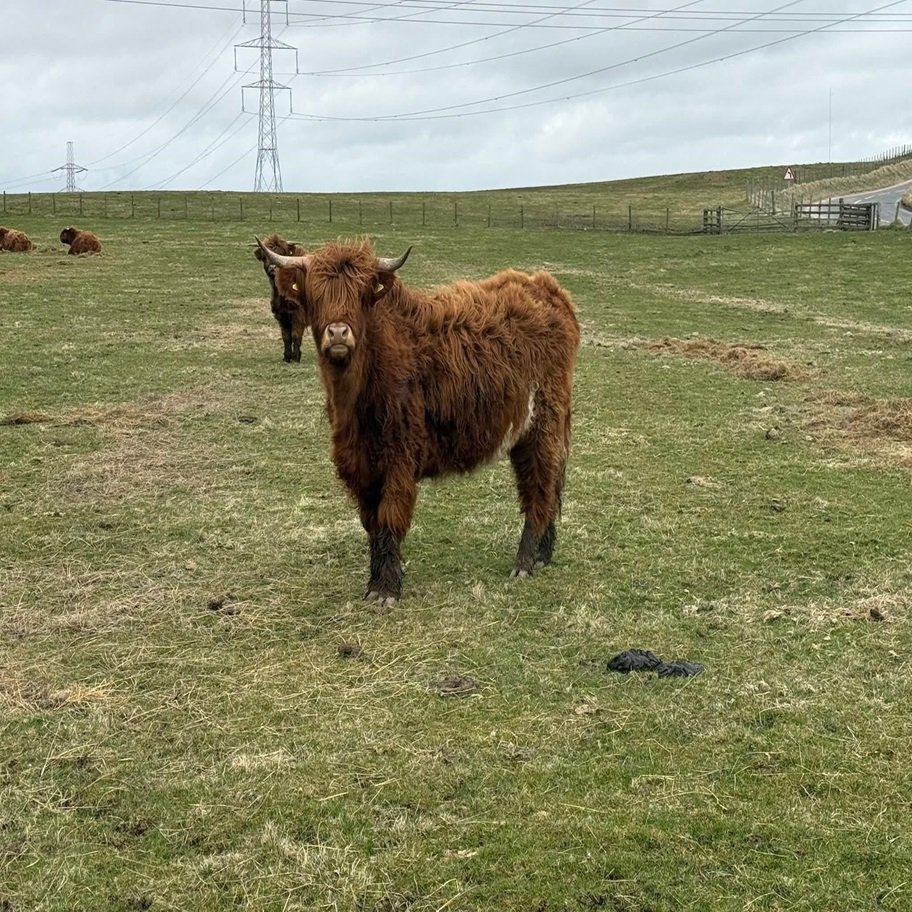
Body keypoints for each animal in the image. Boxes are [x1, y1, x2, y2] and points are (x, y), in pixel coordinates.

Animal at [253, 233, 309, 362]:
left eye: (282, 253)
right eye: (264, 256)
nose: (273, 268)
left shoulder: (299, 314)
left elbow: (295, 335)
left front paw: (295, 358)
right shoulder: (281, 315)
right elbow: (286, 337)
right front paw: (287, 357)